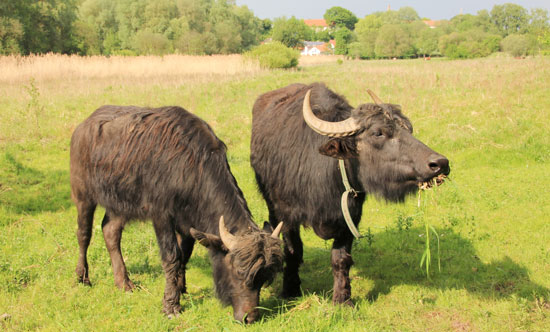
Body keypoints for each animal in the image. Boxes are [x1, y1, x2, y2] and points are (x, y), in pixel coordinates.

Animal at [70, 105, 284, 322]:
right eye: (238, 272)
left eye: (264, 278)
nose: (250, 318)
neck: (191, 166)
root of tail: (83, 127)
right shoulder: (161, 216)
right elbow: (172, 257)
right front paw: (171, 305)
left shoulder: (187, 222)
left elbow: (184, 255)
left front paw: (181, 289)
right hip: (83, 195)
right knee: (84, 234)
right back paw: (82, 277)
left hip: (119, 204)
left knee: (110, 232)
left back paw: (124, 282)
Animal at [252, 82, 450, 304]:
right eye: (378, 133)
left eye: (408, 128)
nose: (440, 163)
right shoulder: (286, 215)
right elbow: (293, 251)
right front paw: (290, 290)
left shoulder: (350, 216)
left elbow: (340, 259)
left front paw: (342, 298)